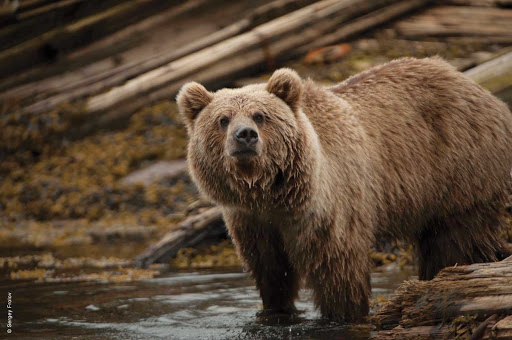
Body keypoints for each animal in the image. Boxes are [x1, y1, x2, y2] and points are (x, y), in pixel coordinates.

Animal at [177, 57, 512, 322]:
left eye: (261, 115)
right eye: (223, 119)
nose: (245, 135)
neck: (270, 193)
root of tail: (474, 86)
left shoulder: (330, 204)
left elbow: (337, 268)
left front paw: (342, 314)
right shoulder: (251, 220)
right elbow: (271, 270)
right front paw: (276, 310)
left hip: (458, 168)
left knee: (456, 238)